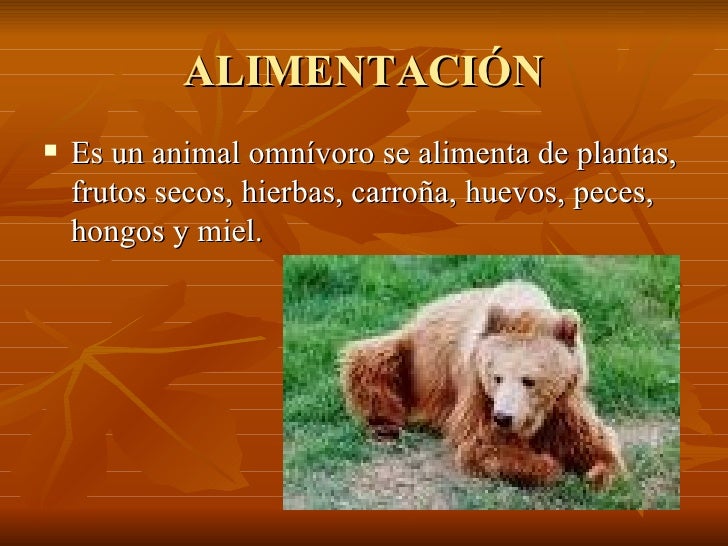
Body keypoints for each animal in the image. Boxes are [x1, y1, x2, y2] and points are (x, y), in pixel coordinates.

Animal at [340, 280, 624, 489]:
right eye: (496, 377)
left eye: (529, 380)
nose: (503, 417)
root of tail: (426, 308)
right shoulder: (477, 391)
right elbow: (482, 444)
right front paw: (548, 464)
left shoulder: (563, 401)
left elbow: (590, 439)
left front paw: (600, 472)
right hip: (414, 358)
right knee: (371, 362)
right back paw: (384, 425)